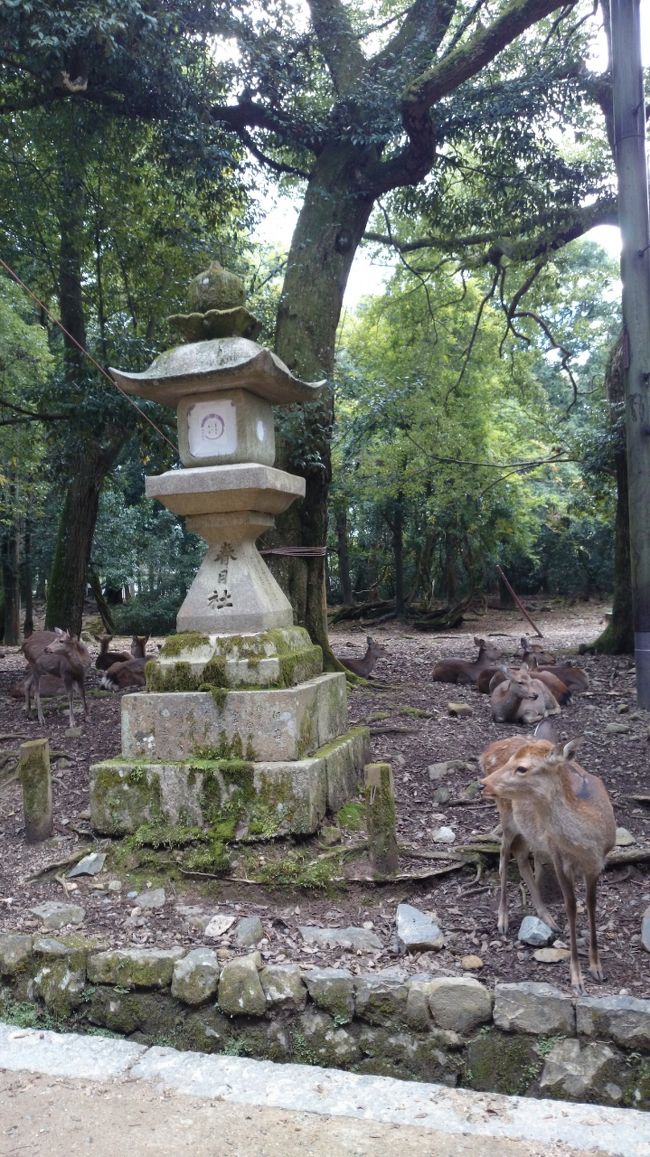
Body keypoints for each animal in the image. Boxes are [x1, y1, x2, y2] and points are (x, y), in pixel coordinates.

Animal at [480, 737, 616, 993]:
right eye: (511, 761)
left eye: (522, 768)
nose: (483, 784)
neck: (585, 844)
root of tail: (488, 751)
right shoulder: (558, 856)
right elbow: (571, 907)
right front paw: (577, 979)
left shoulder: (597, 864)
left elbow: (591, 905)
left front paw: (597, 968)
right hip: (507, 812)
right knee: (504, 855)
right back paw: (503, 919)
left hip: (527, 828)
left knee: (521, 856)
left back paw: (547, 918)